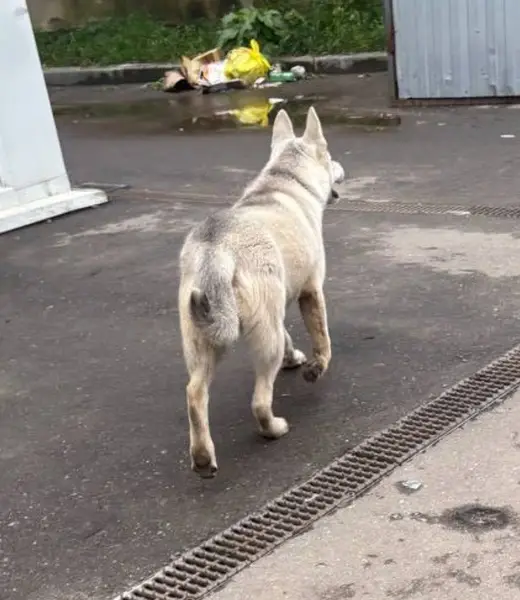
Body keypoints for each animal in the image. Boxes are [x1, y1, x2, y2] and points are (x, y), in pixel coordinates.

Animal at [178, 106, 345, 477]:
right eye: (329, 155)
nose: (342, 167)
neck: (286, 180)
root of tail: (216, 249)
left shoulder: (275, 309)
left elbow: (289, 336)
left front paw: (293, 357)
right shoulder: (311, 292)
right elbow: (323, 340)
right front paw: (315, 368)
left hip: (205, 340)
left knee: (195, 394)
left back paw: (202, 457)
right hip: (258, 343)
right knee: (258, 401)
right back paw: (273, 428)